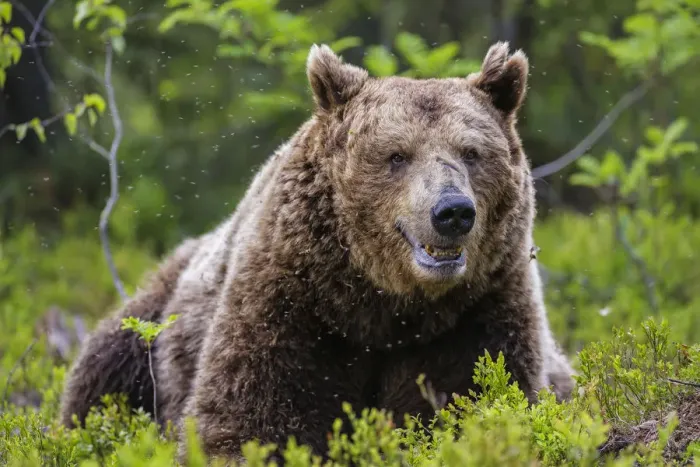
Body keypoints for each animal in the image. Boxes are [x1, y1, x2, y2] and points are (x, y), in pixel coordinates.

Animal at [59, 41, 575, 462]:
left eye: (471, 152)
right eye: (397, 155)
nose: (452, 212)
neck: (382, 305)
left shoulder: (476, 312)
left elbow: (475, 399)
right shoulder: (291, 300)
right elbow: (247, 420)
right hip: (151, 325)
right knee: (104, 372)